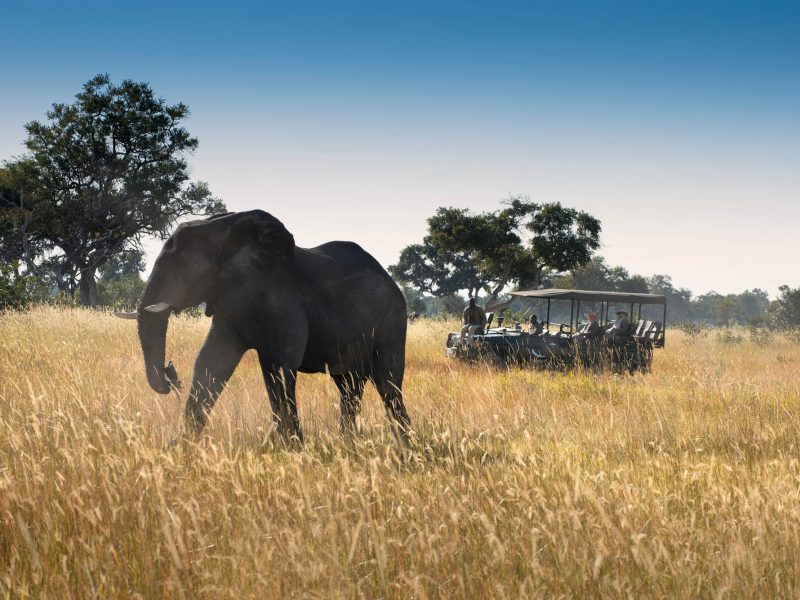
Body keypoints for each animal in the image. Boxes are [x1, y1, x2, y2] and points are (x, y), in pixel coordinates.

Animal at [115, 210, 411, 444]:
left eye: (181, 266)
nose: (170, 375)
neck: (222, 227)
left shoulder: (282, 299)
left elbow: (278, 368)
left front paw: (293, 449)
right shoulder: (230, 301)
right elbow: (210, 363)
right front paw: (181, 445)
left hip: (393, 320)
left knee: (388, 383)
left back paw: (404, 447)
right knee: (349, 386)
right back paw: (349, 444)